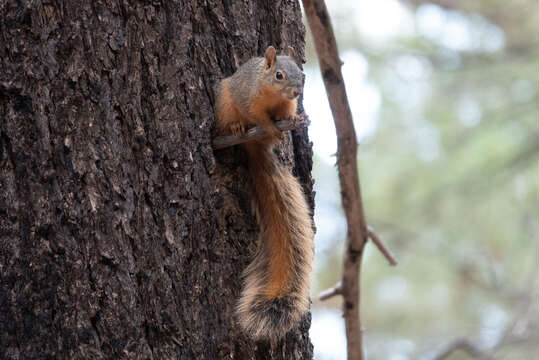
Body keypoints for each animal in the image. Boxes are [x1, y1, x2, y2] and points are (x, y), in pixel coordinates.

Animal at [214, 46, 316, 338]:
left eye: (302, 75)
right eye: (279, 75)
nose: (295, 91)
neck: (274, 96)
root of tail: (254, 148)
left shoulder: (287, 105)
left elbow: (286, 115)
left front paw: (290, 121)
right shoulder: (249, 99)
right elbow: (257, 116)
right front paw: (269, 126)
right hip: (225, 103)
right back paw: (236, 128)